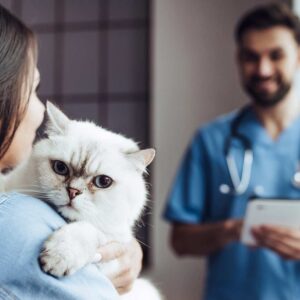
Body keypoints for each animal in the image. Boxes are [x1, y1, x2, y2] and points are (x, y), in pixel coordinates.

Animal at [1, 102, 162, 298]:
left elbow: (89, 230)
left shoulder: (113, 248)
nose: (73, 191)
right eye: (60, 168)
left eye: (103, 182)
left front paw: (59, 256)